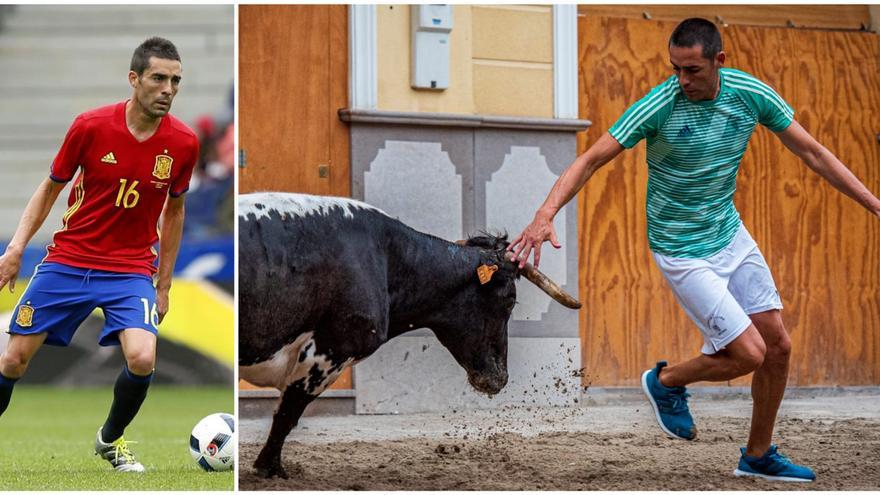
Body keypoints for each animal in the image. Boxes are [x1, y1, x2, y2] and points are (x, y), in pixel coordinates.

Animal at [237, 192, 576, 478]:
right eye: (509, 299)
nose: (499, 378)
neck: (387, 257)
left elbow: (287, 412)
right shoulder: (328, 352)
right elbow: (288, 412)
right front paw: (269, 467)